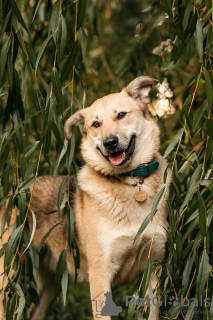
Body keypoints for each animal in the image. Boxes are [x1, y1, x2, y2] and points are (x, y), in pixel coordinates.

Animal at [0, 76, 170, 318]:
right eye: (96, 124)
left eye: (121, 115)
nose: (110, 143)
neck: (131, 183)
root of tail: (13, 194)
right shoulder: (100, 276)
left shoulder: (153, 271)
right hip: (9, 274)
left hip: (50, 285)